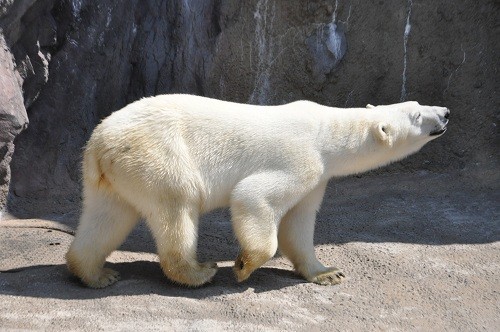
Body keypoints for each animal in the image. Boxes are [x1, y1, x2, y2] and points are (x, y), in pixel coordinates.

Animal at [66, 94, 450, 288]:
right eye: (418, 116)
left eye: (418, 105)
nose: (446, 111)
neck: (327, 131)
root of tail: (100, 142)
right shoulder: (300, 158)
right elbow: (253, 196)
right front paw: (243, 266)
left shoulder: (317, 178)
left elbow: (299, 222)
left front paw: (327, 272)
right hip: (160, 155)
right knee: (177, 205)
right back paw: (199, 271)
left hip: (114, 174)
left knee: (108, 216)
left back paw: (97, 274)